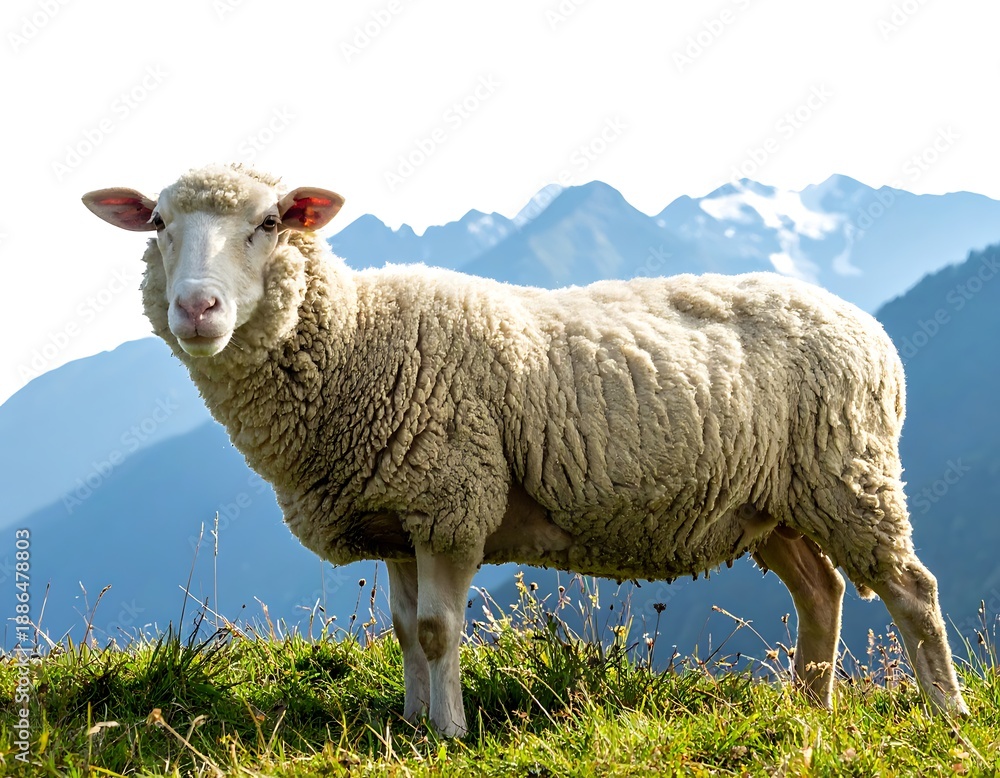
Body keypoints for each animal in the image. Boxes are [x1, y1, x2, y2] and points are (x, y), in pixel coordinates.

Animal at [82, 163, 969, 736]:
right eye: (158, 224)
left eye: (268, 224)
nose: (197, 309)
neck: (355, 340)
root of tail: (864, 323)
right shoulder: (397, 514)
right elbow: (403, 630)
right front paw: (410, 723)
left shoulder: (449, 502)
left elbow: (437, 630)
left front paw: (449, 734)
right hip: (772, 501)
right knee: (821, 592)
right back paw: (808, 709)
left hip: (847, 473)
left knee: (912, 590)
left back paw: (946, 713)